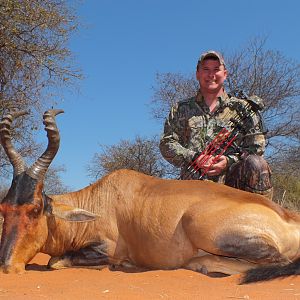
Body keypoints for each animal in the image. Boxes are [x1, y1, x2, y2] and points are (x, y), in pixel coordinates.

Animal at [0, 110, 300, 284]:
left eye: (36, 209)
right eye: (4, 208)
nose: (7, 266)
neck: (101, 198)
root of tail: (289, 217)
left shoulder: (106, 249)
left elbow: (55, 261)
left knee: (279, 262)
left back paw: (202, 264)